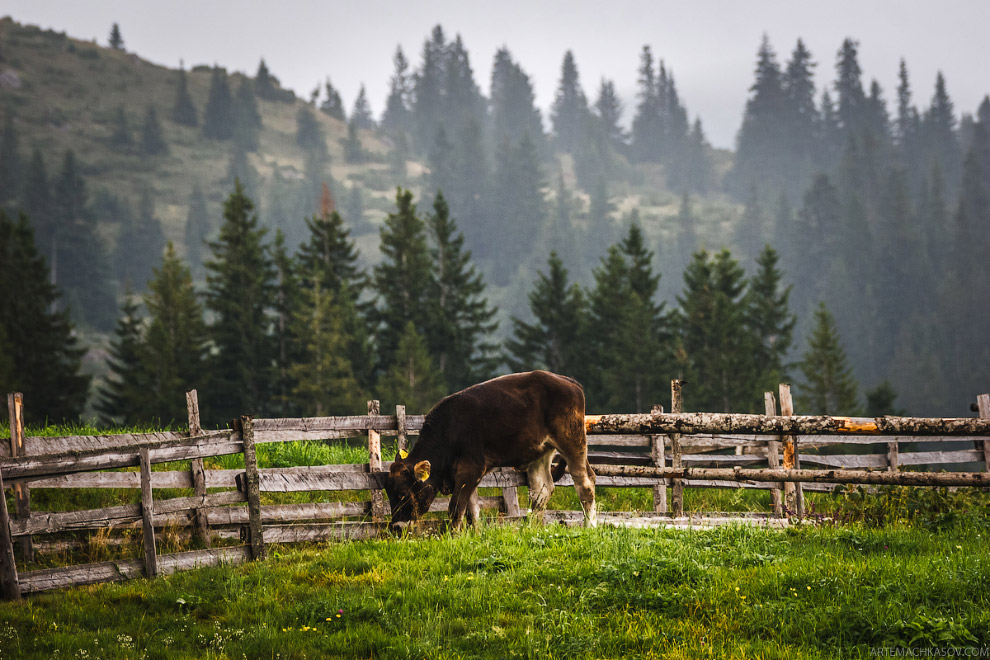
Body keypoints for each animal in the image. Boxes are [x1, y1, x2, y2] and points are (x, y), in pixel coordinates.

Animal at [386, 372, 596, 532]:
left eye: (403, 492)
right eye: (388, 492)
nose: (395, 527)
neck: (449, 429)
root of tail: (568, 381)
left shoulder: (471, 468)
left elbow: (456, 508)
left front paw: (452, 536)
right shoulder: (466, 476)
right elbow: (472, 511)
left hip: (572, 441)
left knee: (585, 483)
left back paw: (590, 527)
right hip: (542, 450)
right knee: (541, 490)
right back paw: (533, 529)